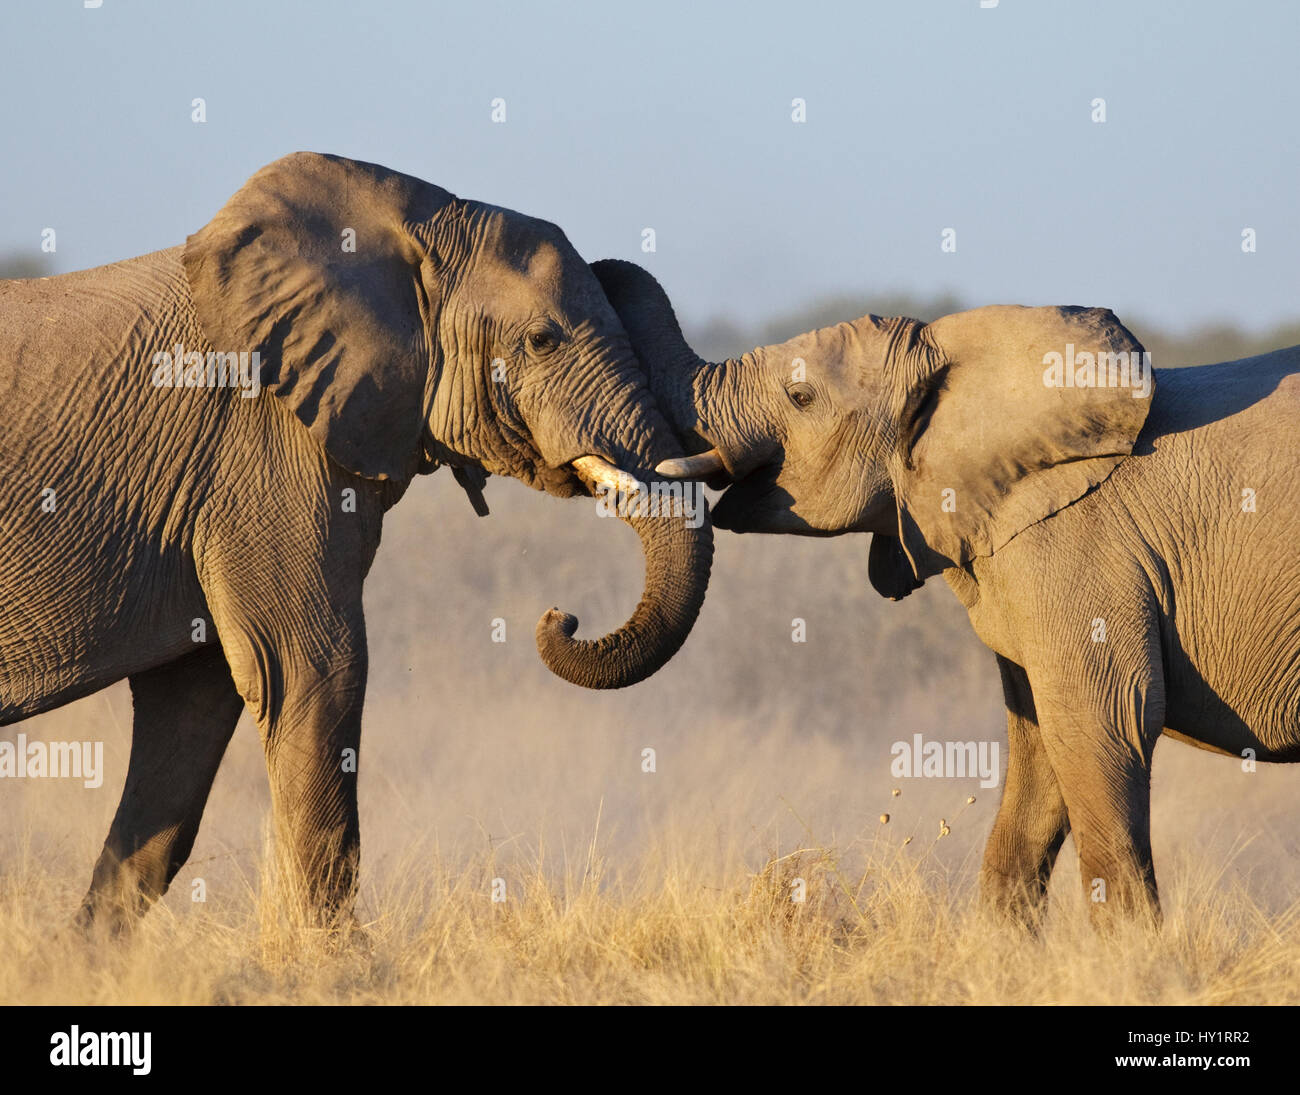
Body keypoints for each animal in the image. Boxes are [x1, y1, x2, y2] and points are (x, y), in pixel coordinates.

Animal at [592, 256, 1300, 920]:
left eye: (800, 396)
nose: (598, 267)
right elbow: (1038, 756)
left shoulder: (1081, 548)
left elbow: (1102, 724)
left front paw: (1132, 957)